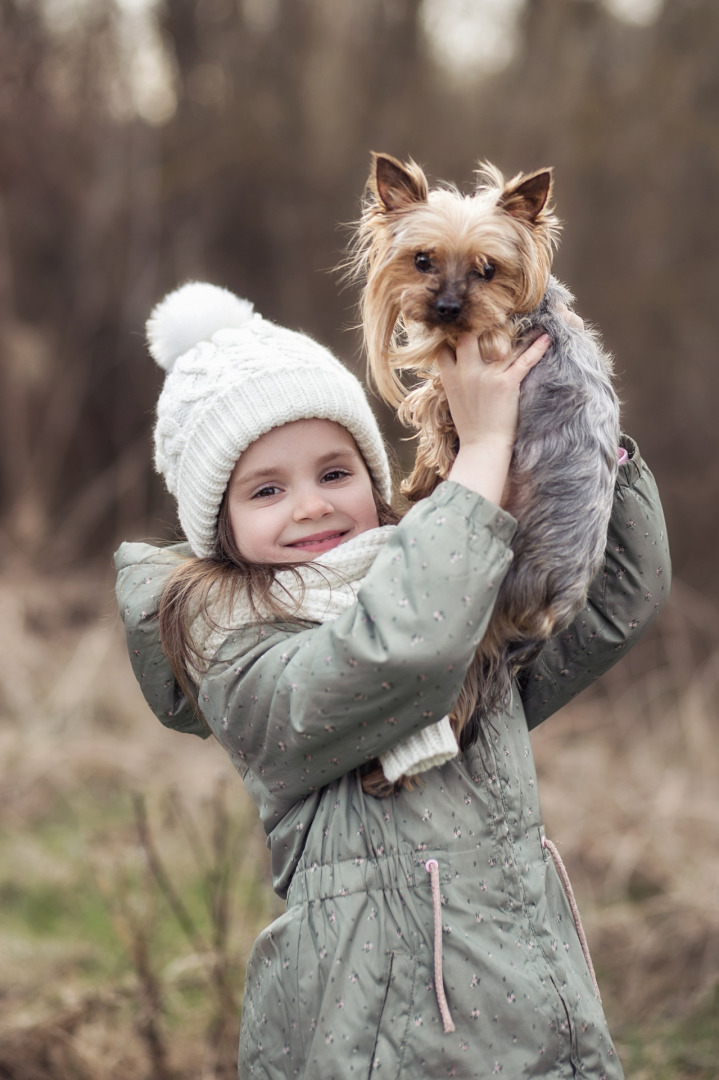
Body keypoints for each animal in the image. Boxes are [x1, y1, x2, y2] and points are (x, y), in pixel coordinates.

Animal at [347, 152, 617, 717]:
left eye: (488, 270)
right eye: (422, 260)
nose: (448, 309)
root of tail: (550, 609)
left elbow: (435, 409)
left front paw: (421, 477)